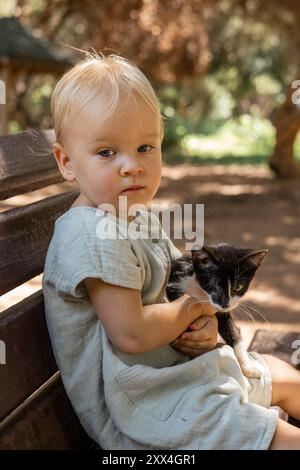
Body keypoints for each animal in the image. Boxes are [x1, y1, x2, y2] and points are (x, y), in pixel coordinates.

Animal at [166, 242, 268, 378]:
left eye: (237, 286)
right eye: (214, 284)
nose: (225, 304)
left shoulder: (223, 310)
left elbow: (232, 331)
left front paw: (248, 366)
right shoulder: (175, 287)